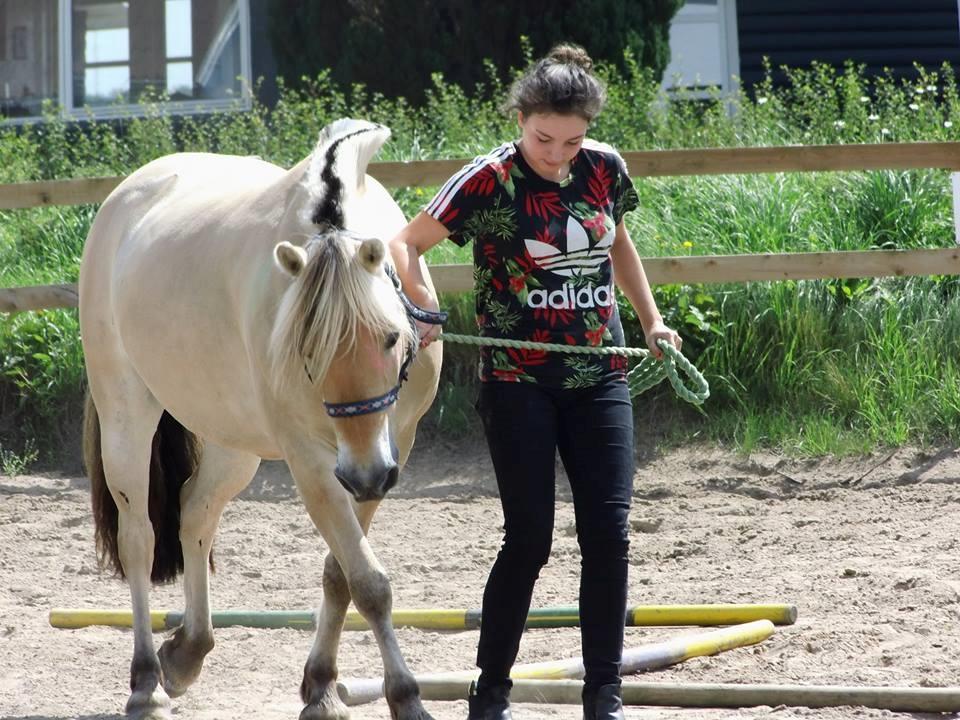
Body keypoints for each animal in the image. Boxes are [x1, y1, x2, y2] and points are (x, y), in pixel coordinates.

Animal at [80, 119, 440, 720]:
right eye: (306, 349)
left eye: (391, 337)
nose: (366, 475)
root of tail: (123, 197)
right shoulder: (313, 462)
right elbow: (368, 583)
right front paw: (406, 696)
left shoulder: (395, 447)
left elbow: (341, 576)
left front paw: (321, 687)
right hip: (126, 416)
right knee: (140, 540)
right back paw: (147, 682)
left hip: (236, 447)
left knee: (194, 512)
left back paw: (188, 651)